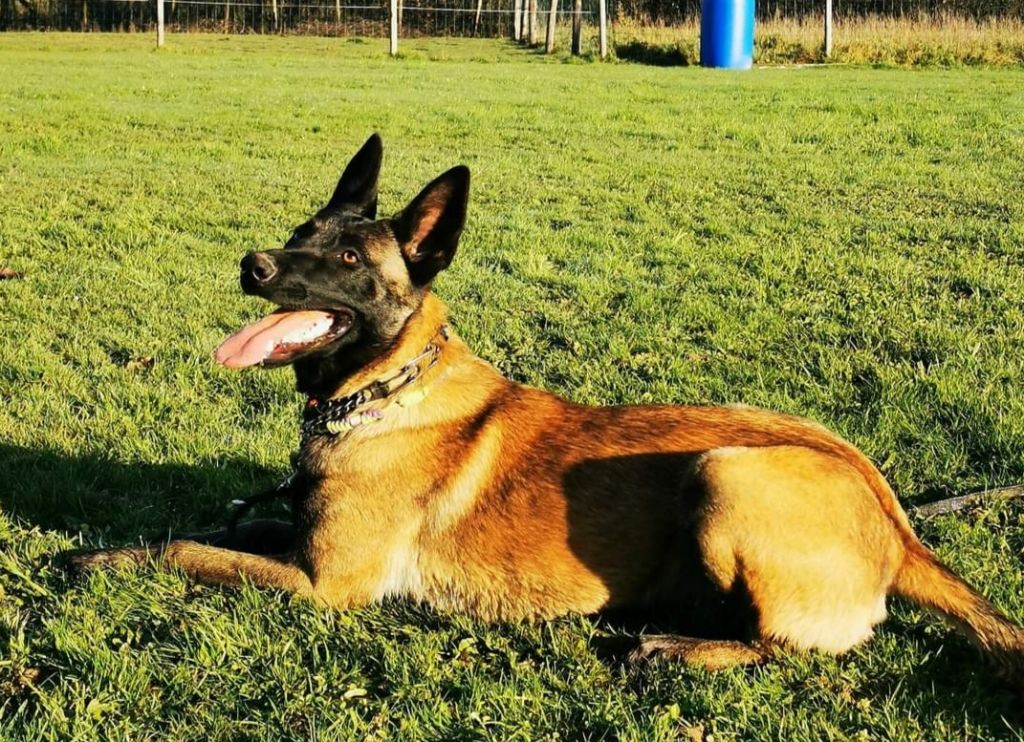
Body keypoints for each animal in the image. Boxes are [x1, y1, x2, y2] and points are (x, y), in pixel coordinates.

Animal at [72, 136, 1024, 687]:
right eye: (300, 232)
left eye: (344, 258)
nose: (254, 264)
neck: (385, 390)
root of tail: (900, 525)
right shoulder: (300, 537)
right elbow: (218, 529)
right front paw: (116, 547)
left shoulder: (325, 585)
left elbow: (193, 551)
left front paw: (106, 561)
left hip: (725, 471)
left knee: (787, 643)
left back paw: (679, 646)